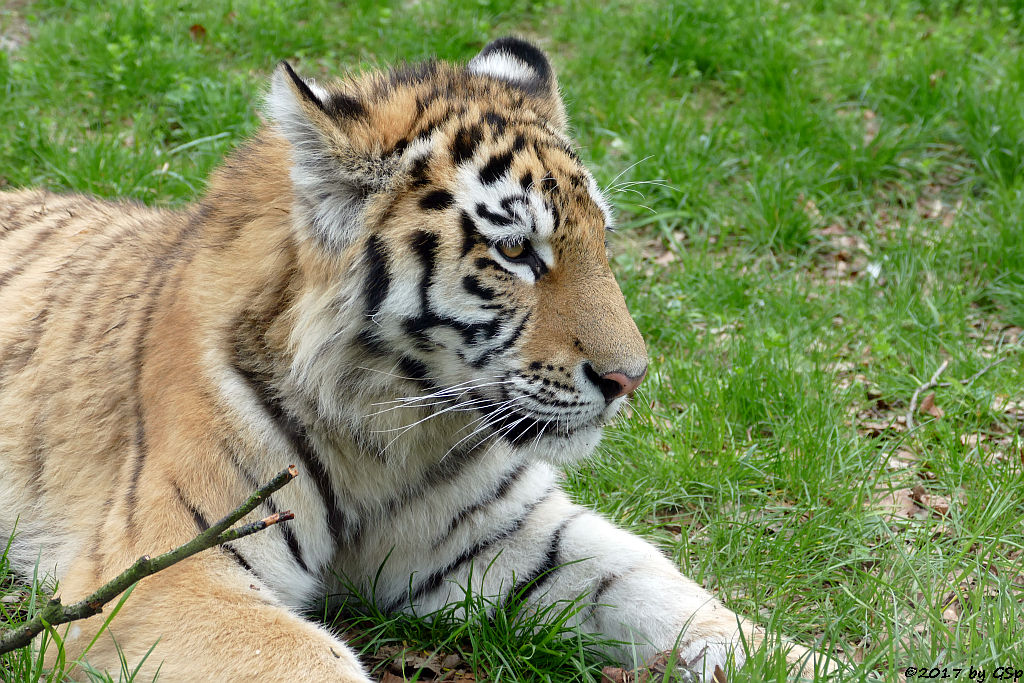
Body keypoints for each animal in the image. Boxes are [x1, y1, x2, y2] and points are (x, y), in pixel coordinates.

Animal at [0, 38, 831, 683]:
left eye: (602, 240)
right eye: (515, 251)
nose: (631, 377)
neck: (387, 428)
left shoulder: (512, 535)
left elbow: (675, 594)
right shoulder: (167, 572)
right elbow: (313, 659)